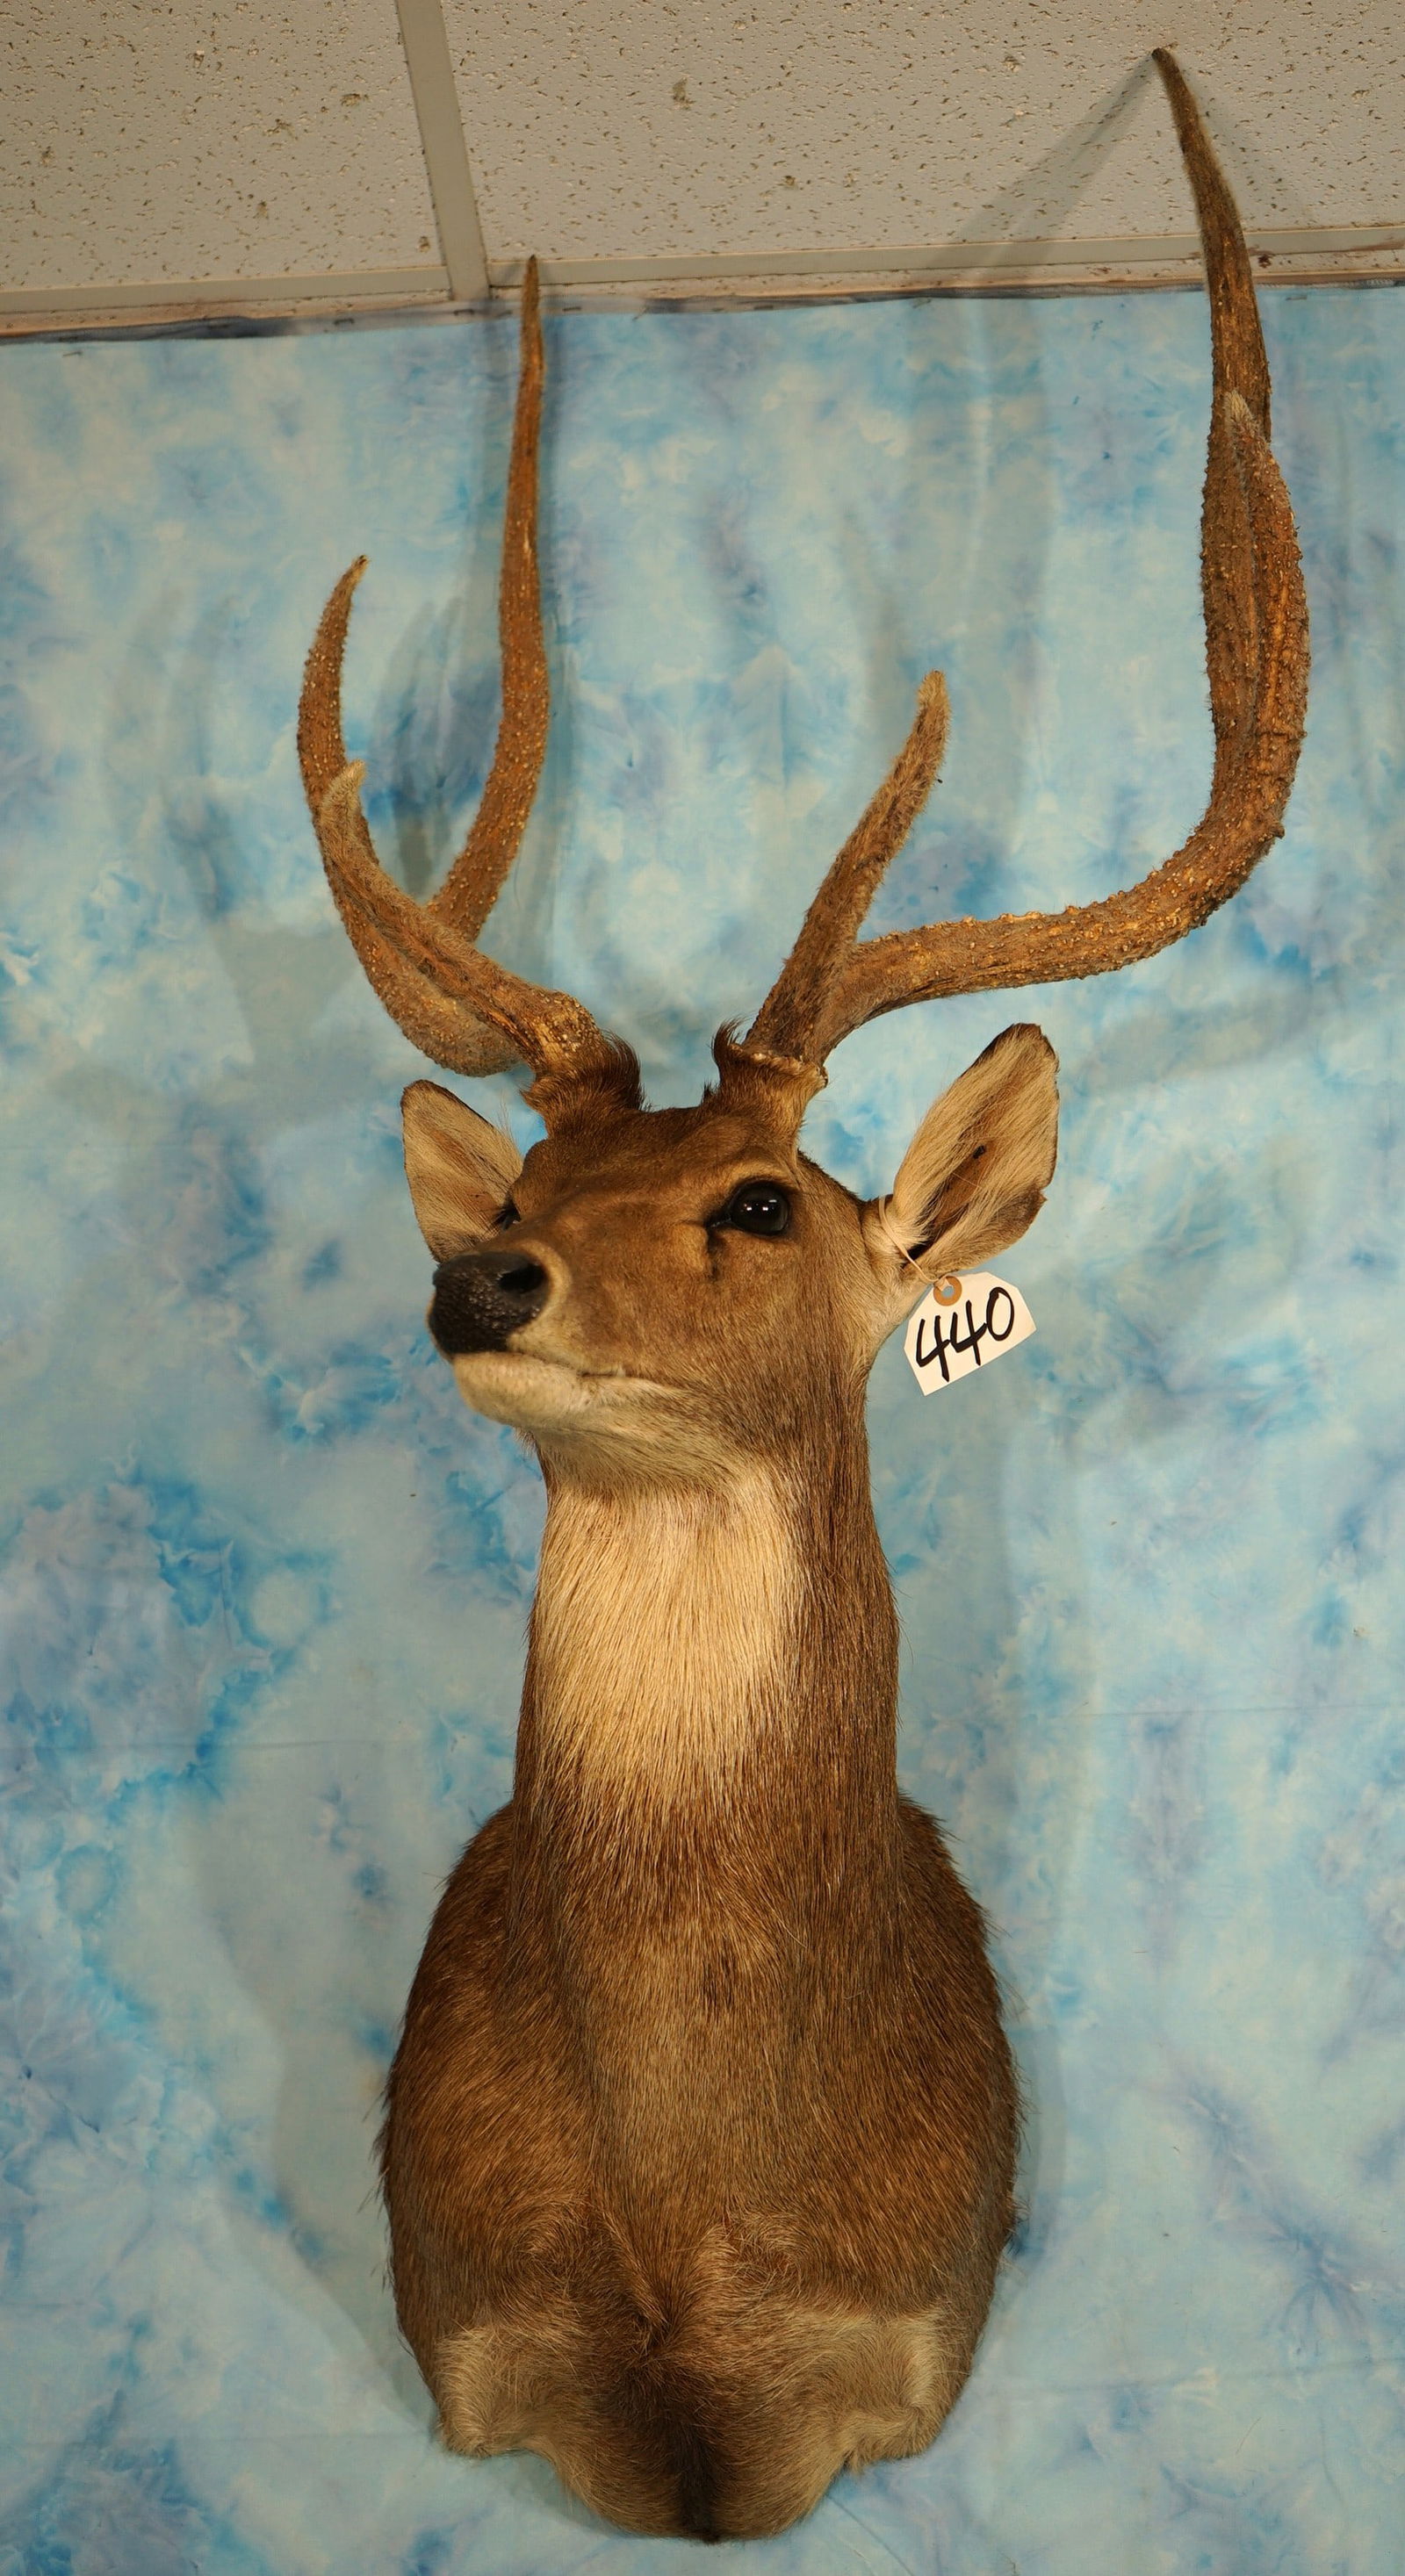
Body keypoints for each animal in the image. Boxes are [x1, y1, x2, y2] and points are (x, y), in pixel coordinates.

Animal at [295, 53, 1306, 2544]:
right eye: (532, 1172)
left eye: (760, 1201)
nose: (483, 1270)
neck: (689, 2220)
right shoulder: (479, 2352)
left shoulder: (898, 2358)